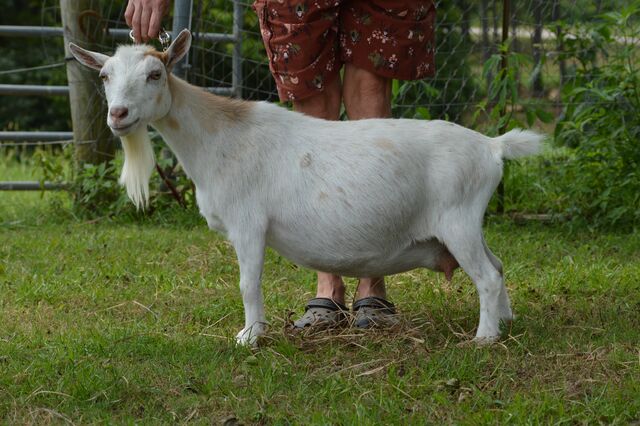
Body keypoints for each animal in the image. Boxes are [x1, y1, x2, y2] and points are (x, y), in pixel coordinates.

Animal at [69, 30, 540, 346]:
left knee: (486, 277)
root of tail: (491, 147)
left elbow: (248, 284)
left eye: (154, 74)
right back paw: (507, 322)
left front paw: (249, 337)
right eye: (105, 76)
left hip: (458, 219)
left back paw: (484, 338)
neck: (220, 136)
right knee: (498, 266)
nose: (118, 114)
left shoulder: (248, 224)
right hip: (469, 223)